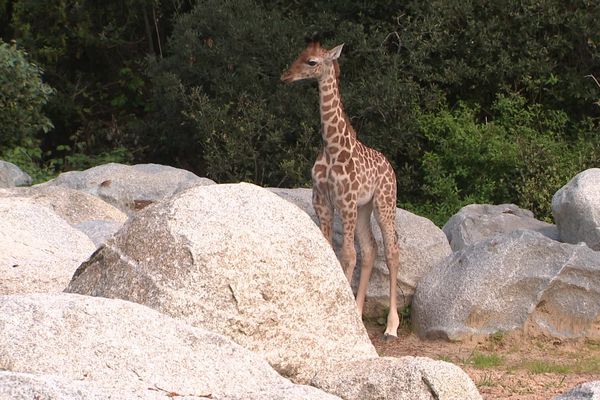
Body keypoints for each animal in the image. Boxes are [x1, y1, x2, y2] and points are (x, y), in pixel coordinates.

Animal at [282, 42, 404, 340]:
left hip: (384, 202)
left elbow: (348, 254)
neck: (332, 147)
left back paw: (391, 327)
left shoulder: (345, 200)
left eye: (312, 62)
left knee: (391, 250)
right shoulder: (322, 200)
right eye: (299, 55)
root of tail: (390, 168)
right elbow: (331, 249)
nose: (285, 76)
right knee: (370, 249)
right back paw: (358, 314)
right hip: (363, 208)